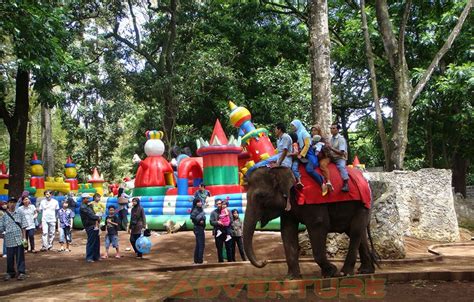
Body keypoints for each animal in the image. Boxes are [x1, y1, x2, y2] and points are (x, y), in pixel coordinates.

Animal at [243, 166, 376, 280]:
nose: (264, 261)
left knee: (355, 231)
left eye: (261, 196)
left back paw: (345, 273)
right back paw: (365, 271)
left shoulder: (314, 204)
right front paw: (291, 278)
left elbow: (319, 225)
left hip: (363, 205)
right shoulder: (289, 209)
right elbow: (287, 231)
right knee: (358, 232)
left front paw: (331, 272)